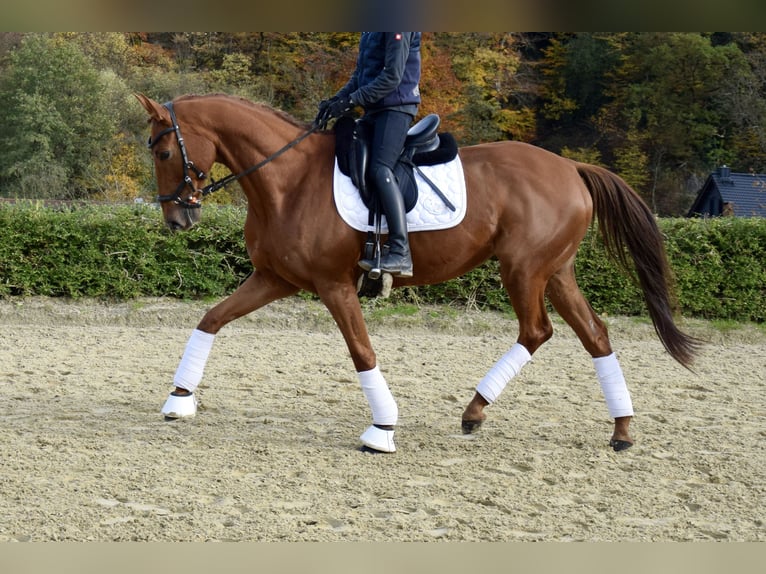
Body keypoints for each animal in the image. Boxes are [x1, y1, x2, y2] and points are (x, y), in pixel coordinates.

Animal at [136, 92, 698, 453]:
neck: (286, 180)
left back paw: (477, 411)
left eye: (163, 151)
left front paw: (382, 430)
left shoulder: (333, 286)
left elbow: (362, 352)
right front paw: (179, 400)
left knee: (538, 330)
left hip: (524, 269)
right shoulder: (276, 279)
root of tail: (571, 168)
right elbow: (211, 318)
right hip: (556, 272)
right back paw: (619, 430)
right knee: (595, 335)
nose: (177, 220)